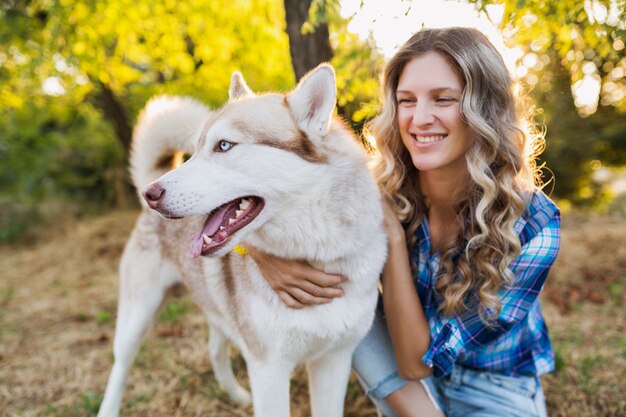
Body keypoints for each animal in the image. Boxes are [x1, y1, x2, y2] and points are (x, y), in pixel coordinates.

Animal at [97, 65, 386, 416]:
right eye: (197, 149)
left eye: (224, 145)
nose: (150, 194)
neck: (318, 256)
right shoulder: (268, 370)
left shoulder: (335, 360)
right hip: (138, 316)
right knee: (119, 366)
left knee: (214, 348)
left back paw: (235, 396)